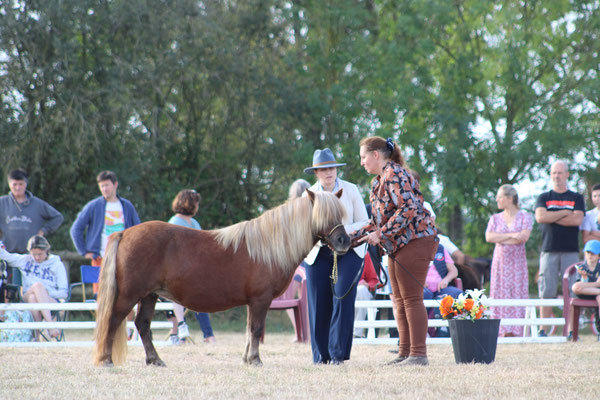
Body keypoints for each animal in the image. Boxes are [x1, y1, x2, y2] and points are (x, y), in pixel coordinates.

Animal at [94, 189, 352, 368]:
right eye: (322, 216)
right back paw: (106, 360)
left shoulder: (253, 302)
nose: (344, 241)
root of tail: (125, 233)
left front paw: (247, 359)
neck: (268, 247)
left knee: (143, 325)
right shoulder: (261, 300)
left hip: (149, 296)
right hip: (130, 295)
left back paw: (154, 360)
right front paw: (255, 360)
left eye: (340, 214)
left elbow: (249, 329)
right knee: (113, 320)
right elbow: (256, 329)